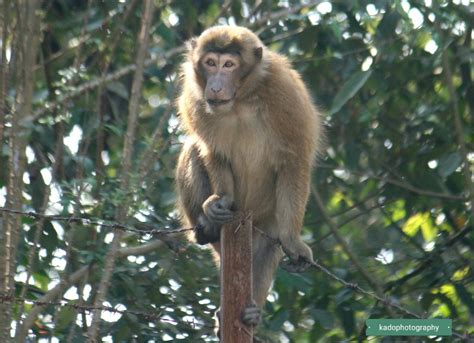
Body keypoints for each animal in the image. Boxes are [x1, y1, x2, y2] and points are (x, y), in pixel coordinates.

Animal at [176, 26, 324, 328]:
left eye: (229, 65)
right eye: (210, 63)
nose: (215, 86)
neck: (240, 100)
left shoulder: (285, 95)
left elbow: (294, 162)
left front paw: (293, 241)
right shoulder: (194, 98)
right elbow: (213, 151)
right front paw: (220, 202)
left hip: (267, 222)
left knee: (268, 247)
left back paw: (251, 310)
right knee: (192, 147)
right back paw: (206, 226)